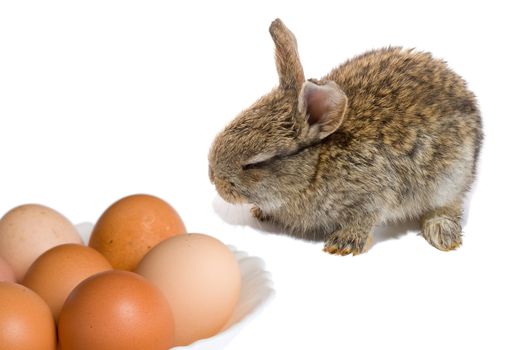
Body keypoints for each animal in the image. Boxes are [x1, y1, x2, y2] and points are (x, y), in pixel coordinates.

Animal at [208, 18, 482, 254]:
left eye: (255, 164)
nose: (213, 178)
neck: (315, 168)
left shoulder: (374, 192)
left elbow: (366, 217)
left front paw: (343, 243)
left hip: (450, 178)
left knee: (449, 204)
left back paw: (442, 232)